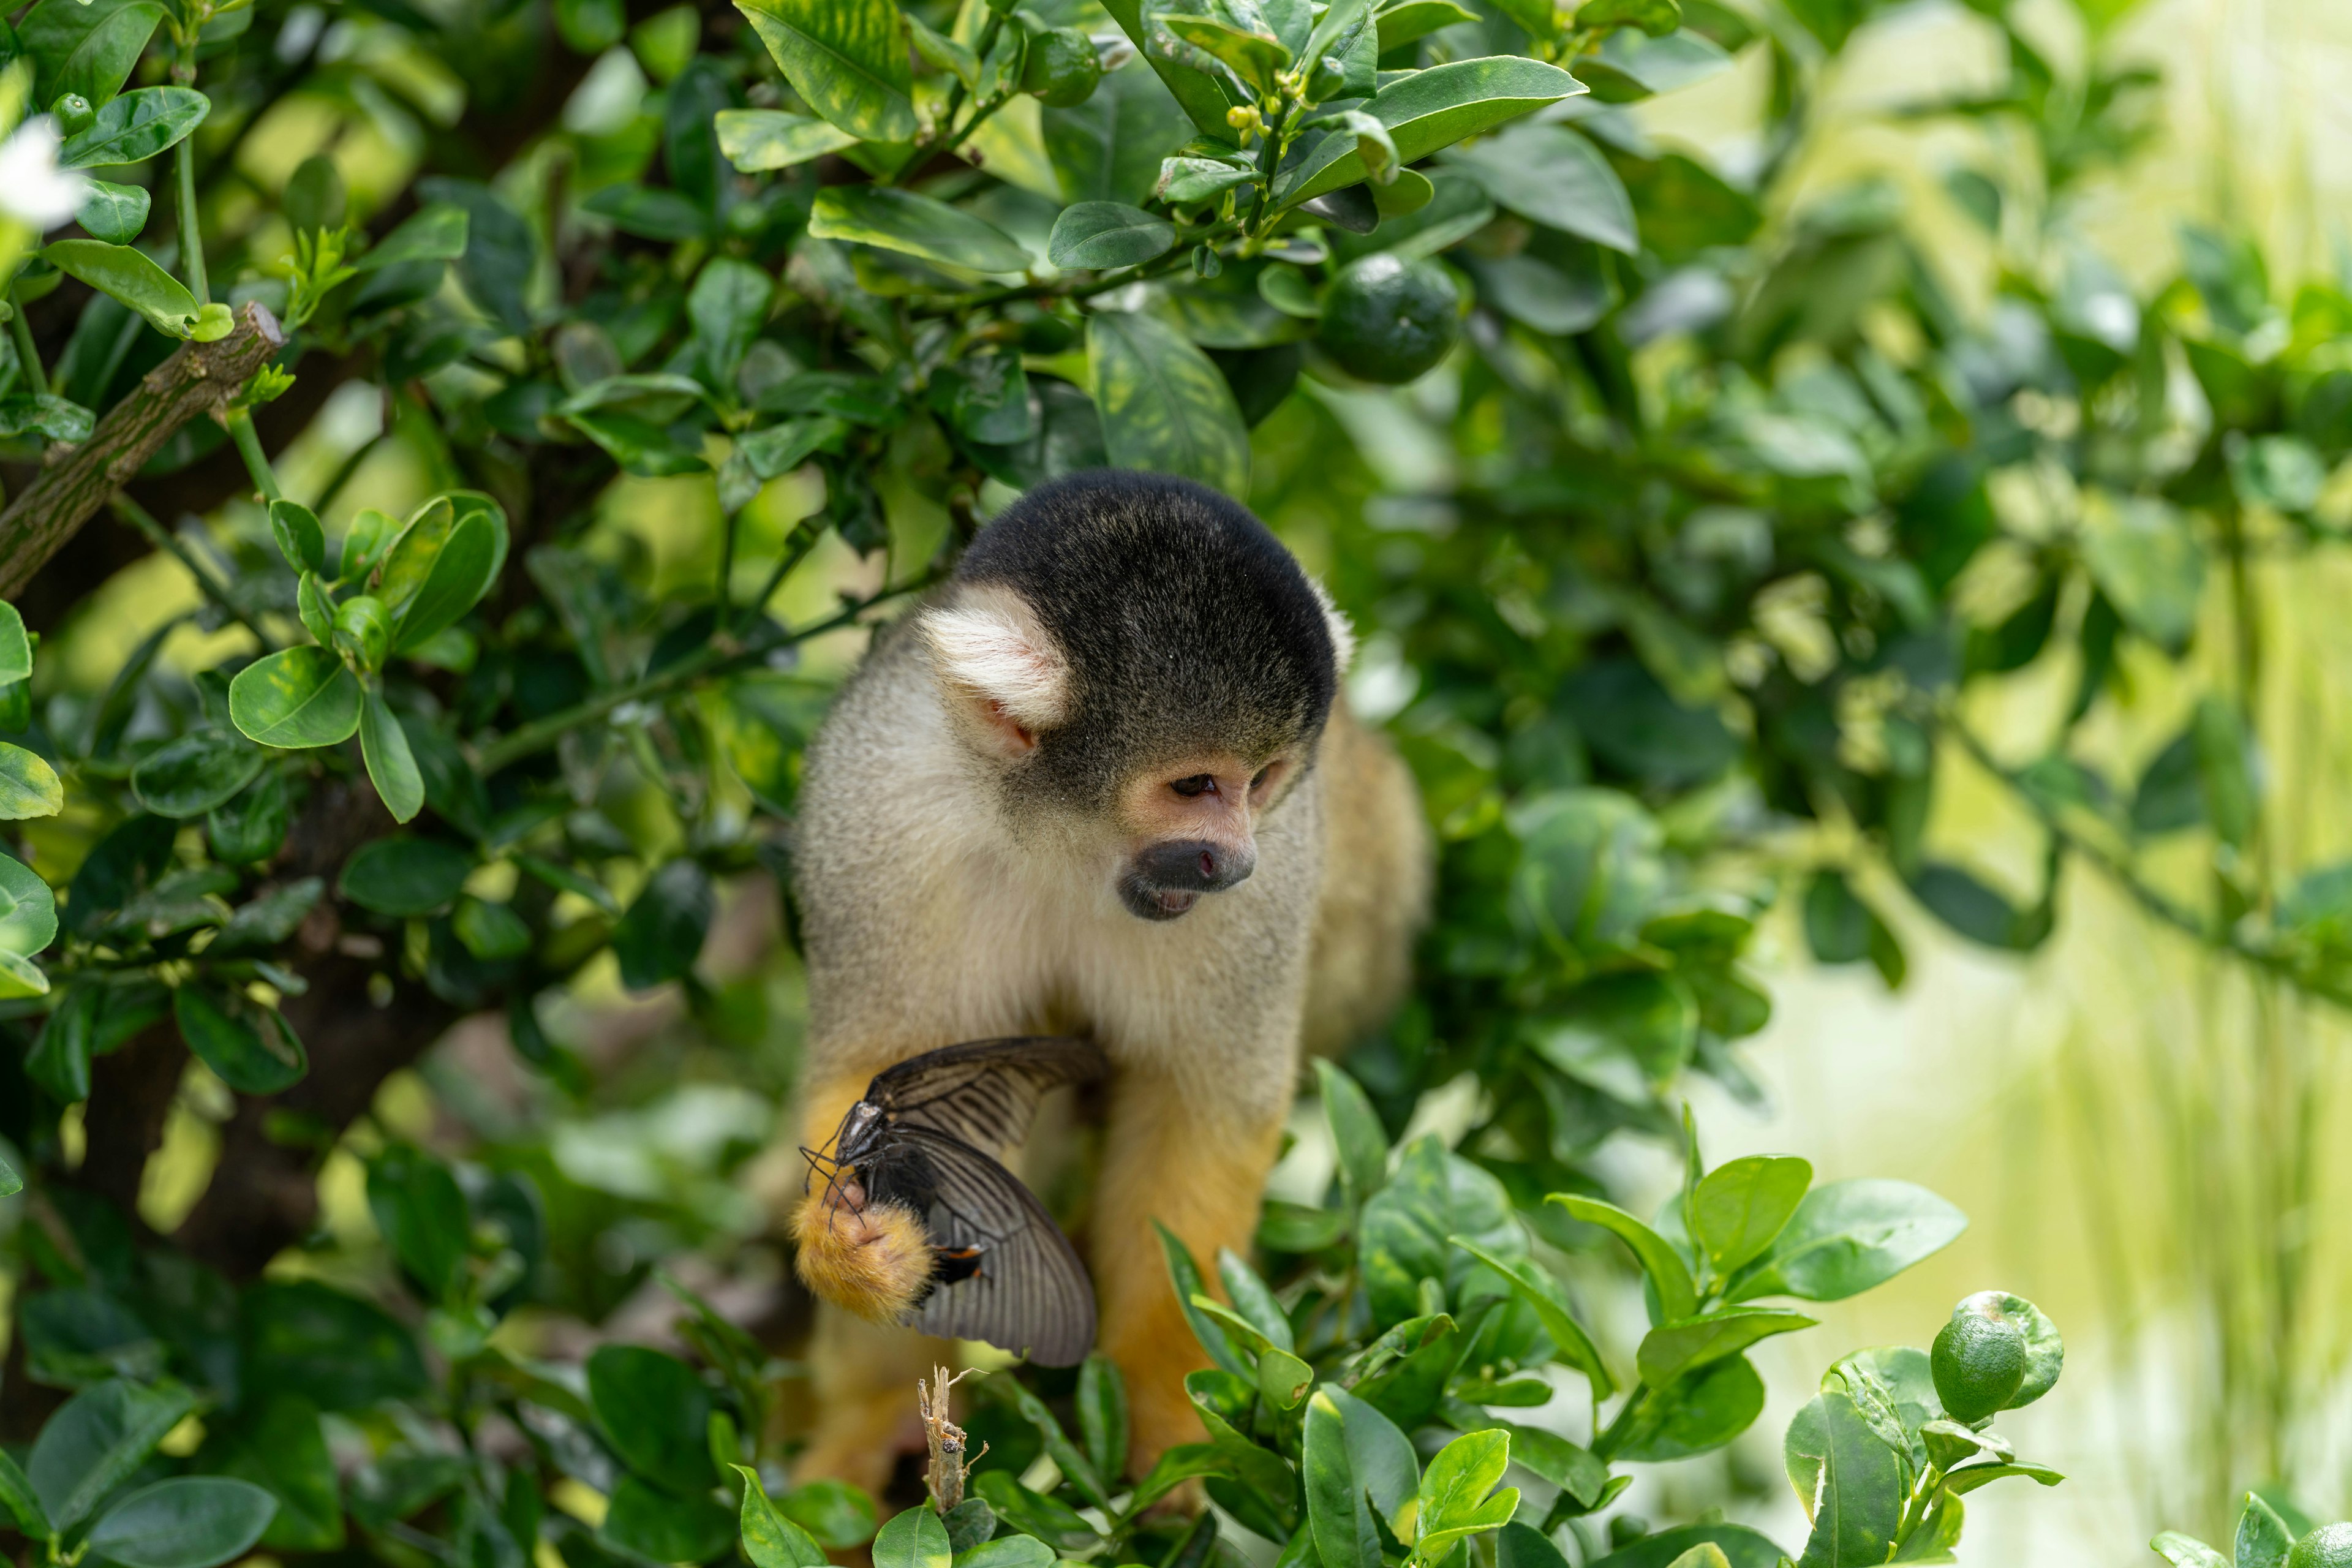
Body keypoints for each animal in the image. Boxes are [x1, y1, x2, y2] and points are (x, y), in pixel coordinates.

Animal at [780, 472, 1420, 1495]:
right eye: (1196, 786)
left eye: (1261, 780)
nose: (1238, 860)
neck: (1062, 842)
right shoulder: (877, 806)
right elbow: (885, 1074)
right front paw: (851, 1249)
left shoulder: (1277, 874)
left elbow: (1201, 1112)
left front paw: (1168, 1426)